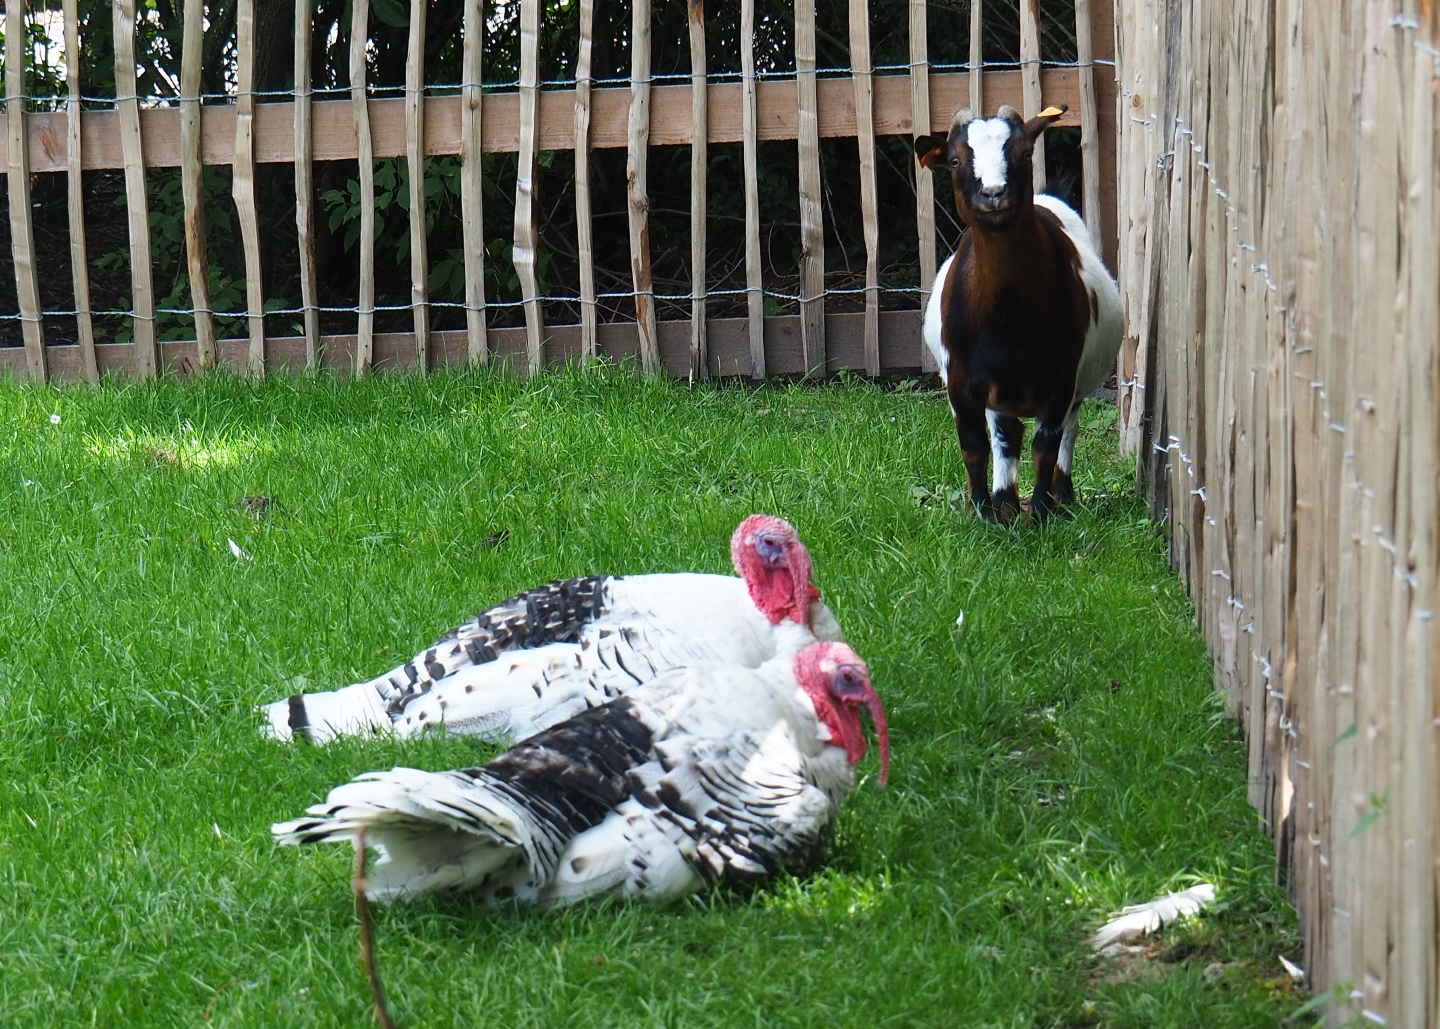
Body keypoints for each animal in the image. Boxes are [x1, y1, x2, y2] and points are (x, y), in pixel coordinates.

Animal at [915, 105, 1122, 520]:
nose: (994, 193)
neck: (1007, 323)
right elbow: (976, 446)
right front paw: (983, 512)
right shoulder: (961, 383)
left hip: (1074, 387)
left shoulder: (1062, 380)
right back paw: (1005, 502)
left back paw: (1061, 496)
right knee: (1006, 436)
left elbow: (1046, 447)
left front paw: (1041, 512)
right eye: (955, 159)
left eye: (1025, 152)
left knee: (1067, 434)